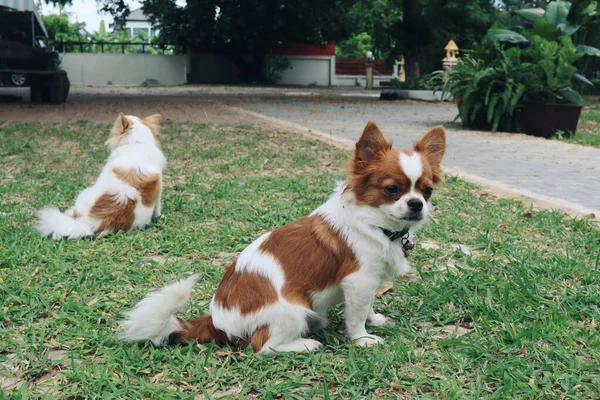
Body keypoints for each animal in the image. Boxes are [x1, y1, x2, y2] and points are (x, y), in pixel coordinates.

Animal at [120, 122, 446, 354]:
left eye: (427, 191)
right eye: (392, 189)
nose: (417, 204)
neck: (375, 223)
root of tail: (217, 322)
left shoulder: (369, 281)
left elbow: (367, 306)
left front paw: (374, 320)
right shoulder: (359, 280)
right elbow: (355, 315)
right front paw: (362, 338)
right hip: (293, 312)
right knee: (263, 347)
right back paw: (306, 345)